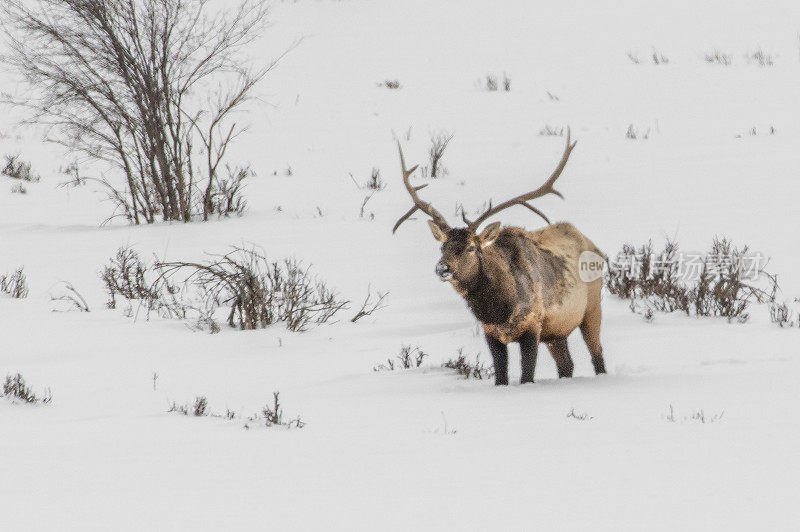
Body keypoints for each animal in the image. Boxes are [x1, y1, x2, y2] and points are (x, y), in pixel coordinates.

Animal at [394, 130, 608, 384]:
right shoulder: (491, 333)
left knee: (597, 356)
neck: (499, 309)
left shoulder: (533, 324)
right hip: (557, 331)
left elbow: (527, 375)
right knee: (567, 364)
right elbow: (501, 377)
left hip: (592, 308)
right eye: (442, 247)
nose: (442, 268)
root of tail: (595, 247)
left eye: (471, 247)